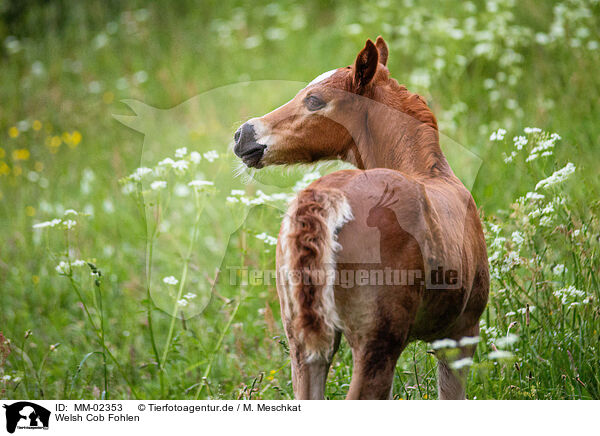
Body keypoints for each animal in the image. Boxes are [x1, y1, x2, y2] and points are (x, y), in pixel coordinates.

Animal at [232, 36, 490, 398]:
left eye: (314, 100)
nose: (243, 135)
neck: (430, 173)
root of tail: (328, 197)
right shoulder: (460, 335)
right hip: (378, 344)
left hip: (304, 345)